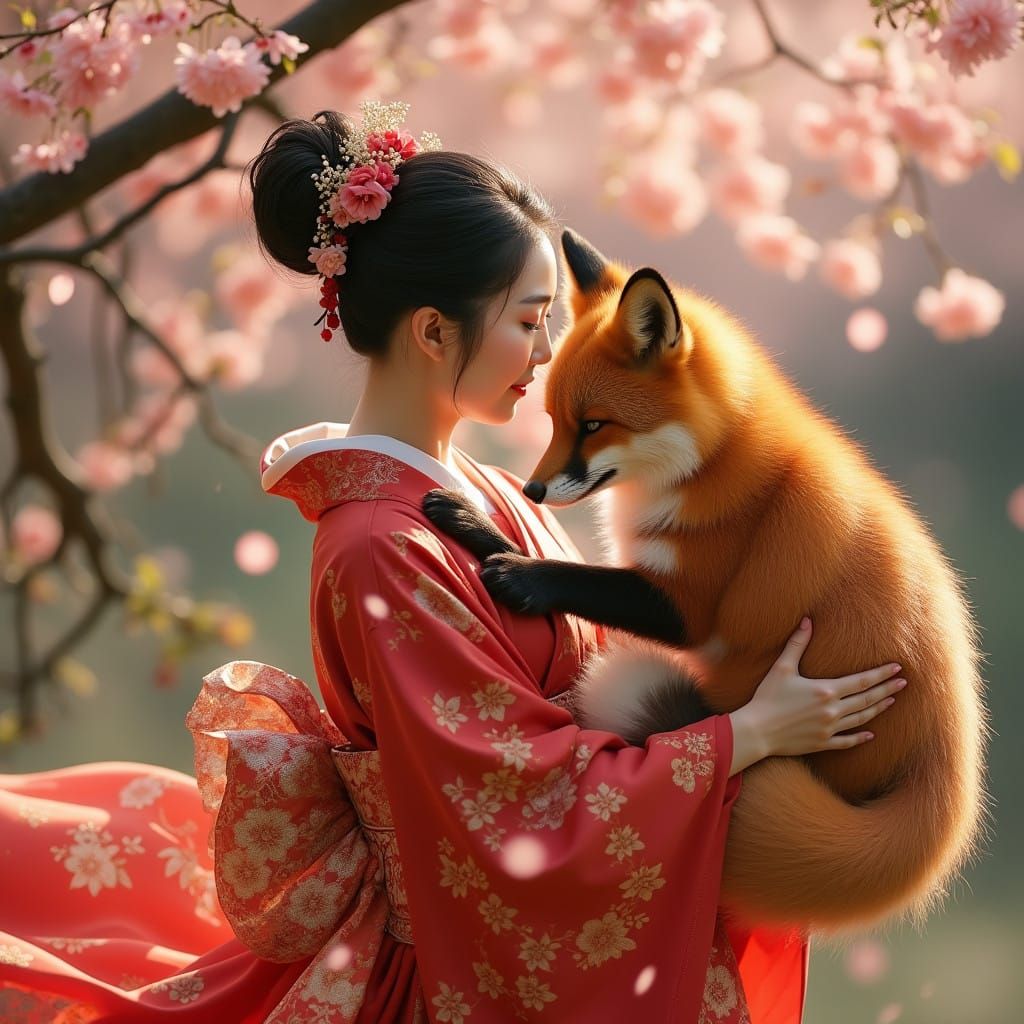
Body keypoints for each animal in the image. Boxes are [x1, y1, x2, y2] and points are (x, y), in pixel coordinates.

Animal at [422, 228, 990, 935]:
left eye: (594, 424)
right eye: (552, 419)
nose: (531, 490)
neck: (709, 462)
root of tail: (949, 774)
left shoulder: (688, 605)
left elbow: (573, 575)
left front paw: (500, 554)